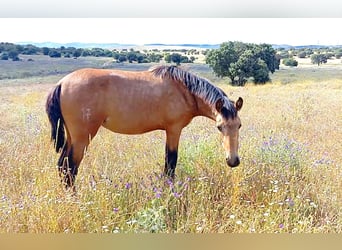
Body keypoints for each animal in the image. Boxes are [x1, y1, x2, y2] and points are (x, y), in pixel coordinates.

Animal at [46, 65, 243, 188]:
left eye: (239, 125)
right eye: (219, 127)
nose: (233, 161)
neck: (184, 90)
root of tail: (62, 83)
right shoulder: (174, 130)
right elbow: (170, 163)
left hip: (72, 137)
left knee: (62, 166)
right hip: (82, 138)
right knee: (70, 169)